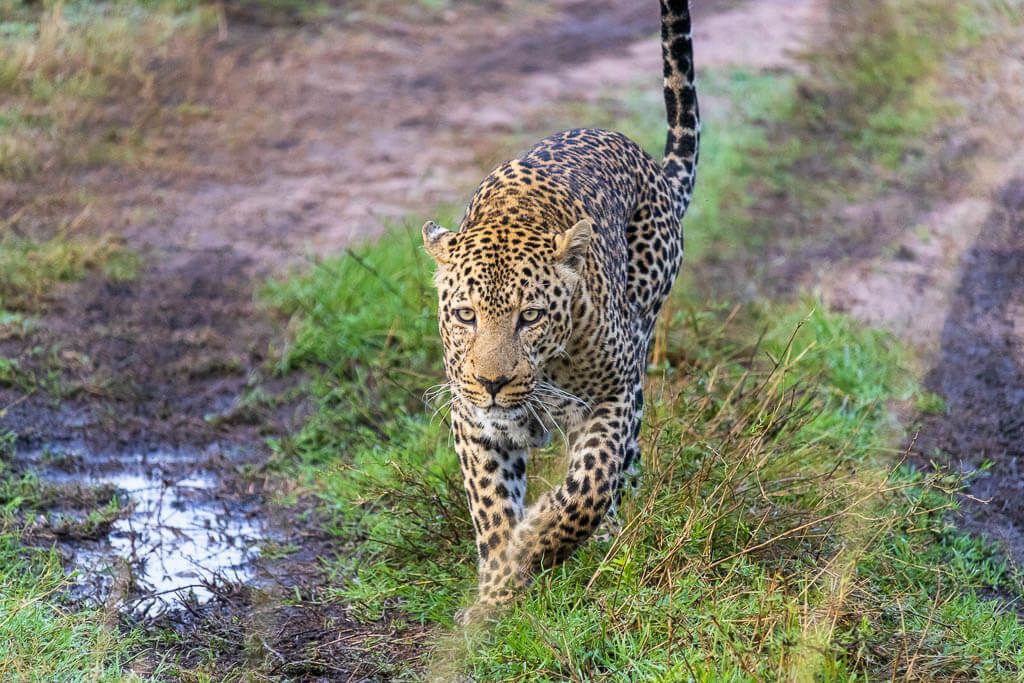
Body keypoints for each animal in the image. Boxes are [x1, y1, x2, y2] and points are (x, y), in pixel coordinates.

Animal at [421, 0, 699, 622]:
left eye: (530, 316)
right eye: (466, 316)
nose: (493, 383)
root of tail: (648, 162)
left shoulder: (612, 396)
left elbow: (589, 487)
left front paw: (543, 538)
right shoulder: (474, 421)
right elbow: (493, 514)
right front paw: (496, 599)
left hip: (640, 348)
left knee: (621, 470)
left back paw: (611, 538)